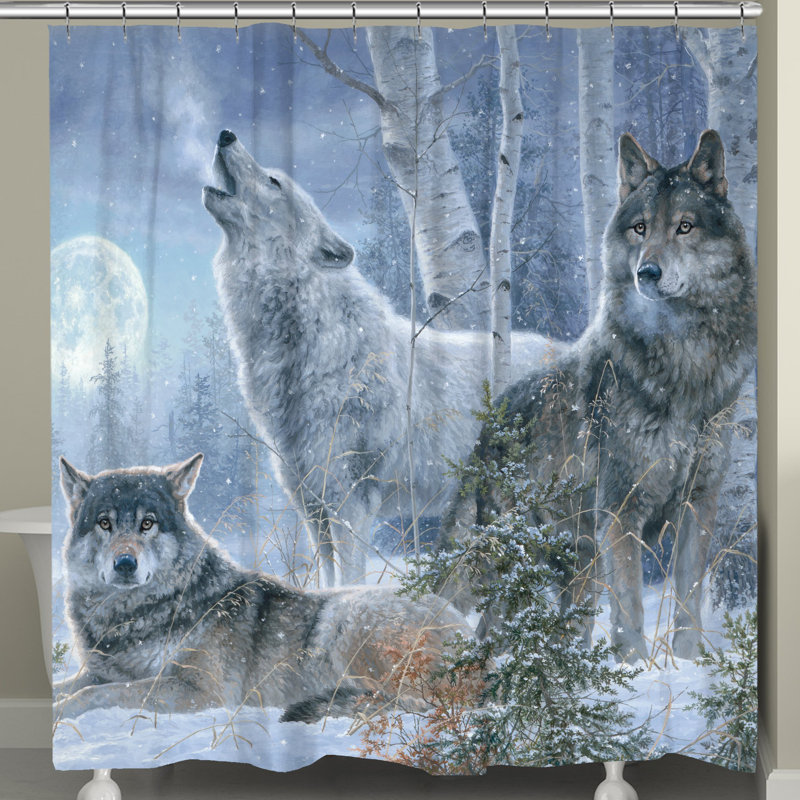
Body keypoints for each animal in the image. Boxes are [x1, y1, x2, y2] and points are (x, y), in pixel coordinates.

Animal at [54, 454, 472, 723]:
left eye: (147, 524)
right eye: (104, 523)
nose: (125, 564)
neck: (130, 619)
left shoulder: (201, 692)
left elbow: (93, 695)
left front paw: (61, 715)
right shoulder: (100, 672)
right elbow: (68, 687)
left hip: (347, 620)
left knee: (417, 704)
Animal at [202, 130, 559, 585]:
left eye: (273, 181)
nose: (226, 134)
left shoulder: (350, 506)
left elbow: (349, 583)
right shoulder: (313, 508)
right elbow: (327, 583)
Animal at [442, 130, 756, 663]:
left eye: (685, 227)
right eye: (640, 228)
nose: (648, 273)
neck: (684, 367)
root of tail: (491, 422)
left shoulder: (699, 503)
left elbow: (688, 602)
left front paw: (688, 663)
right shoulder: (620, 508)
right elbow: (630, 610)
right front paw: (635, 669)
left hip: (576, 569)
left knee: (548, 631)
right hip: (512, 564)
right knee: (482, 626)